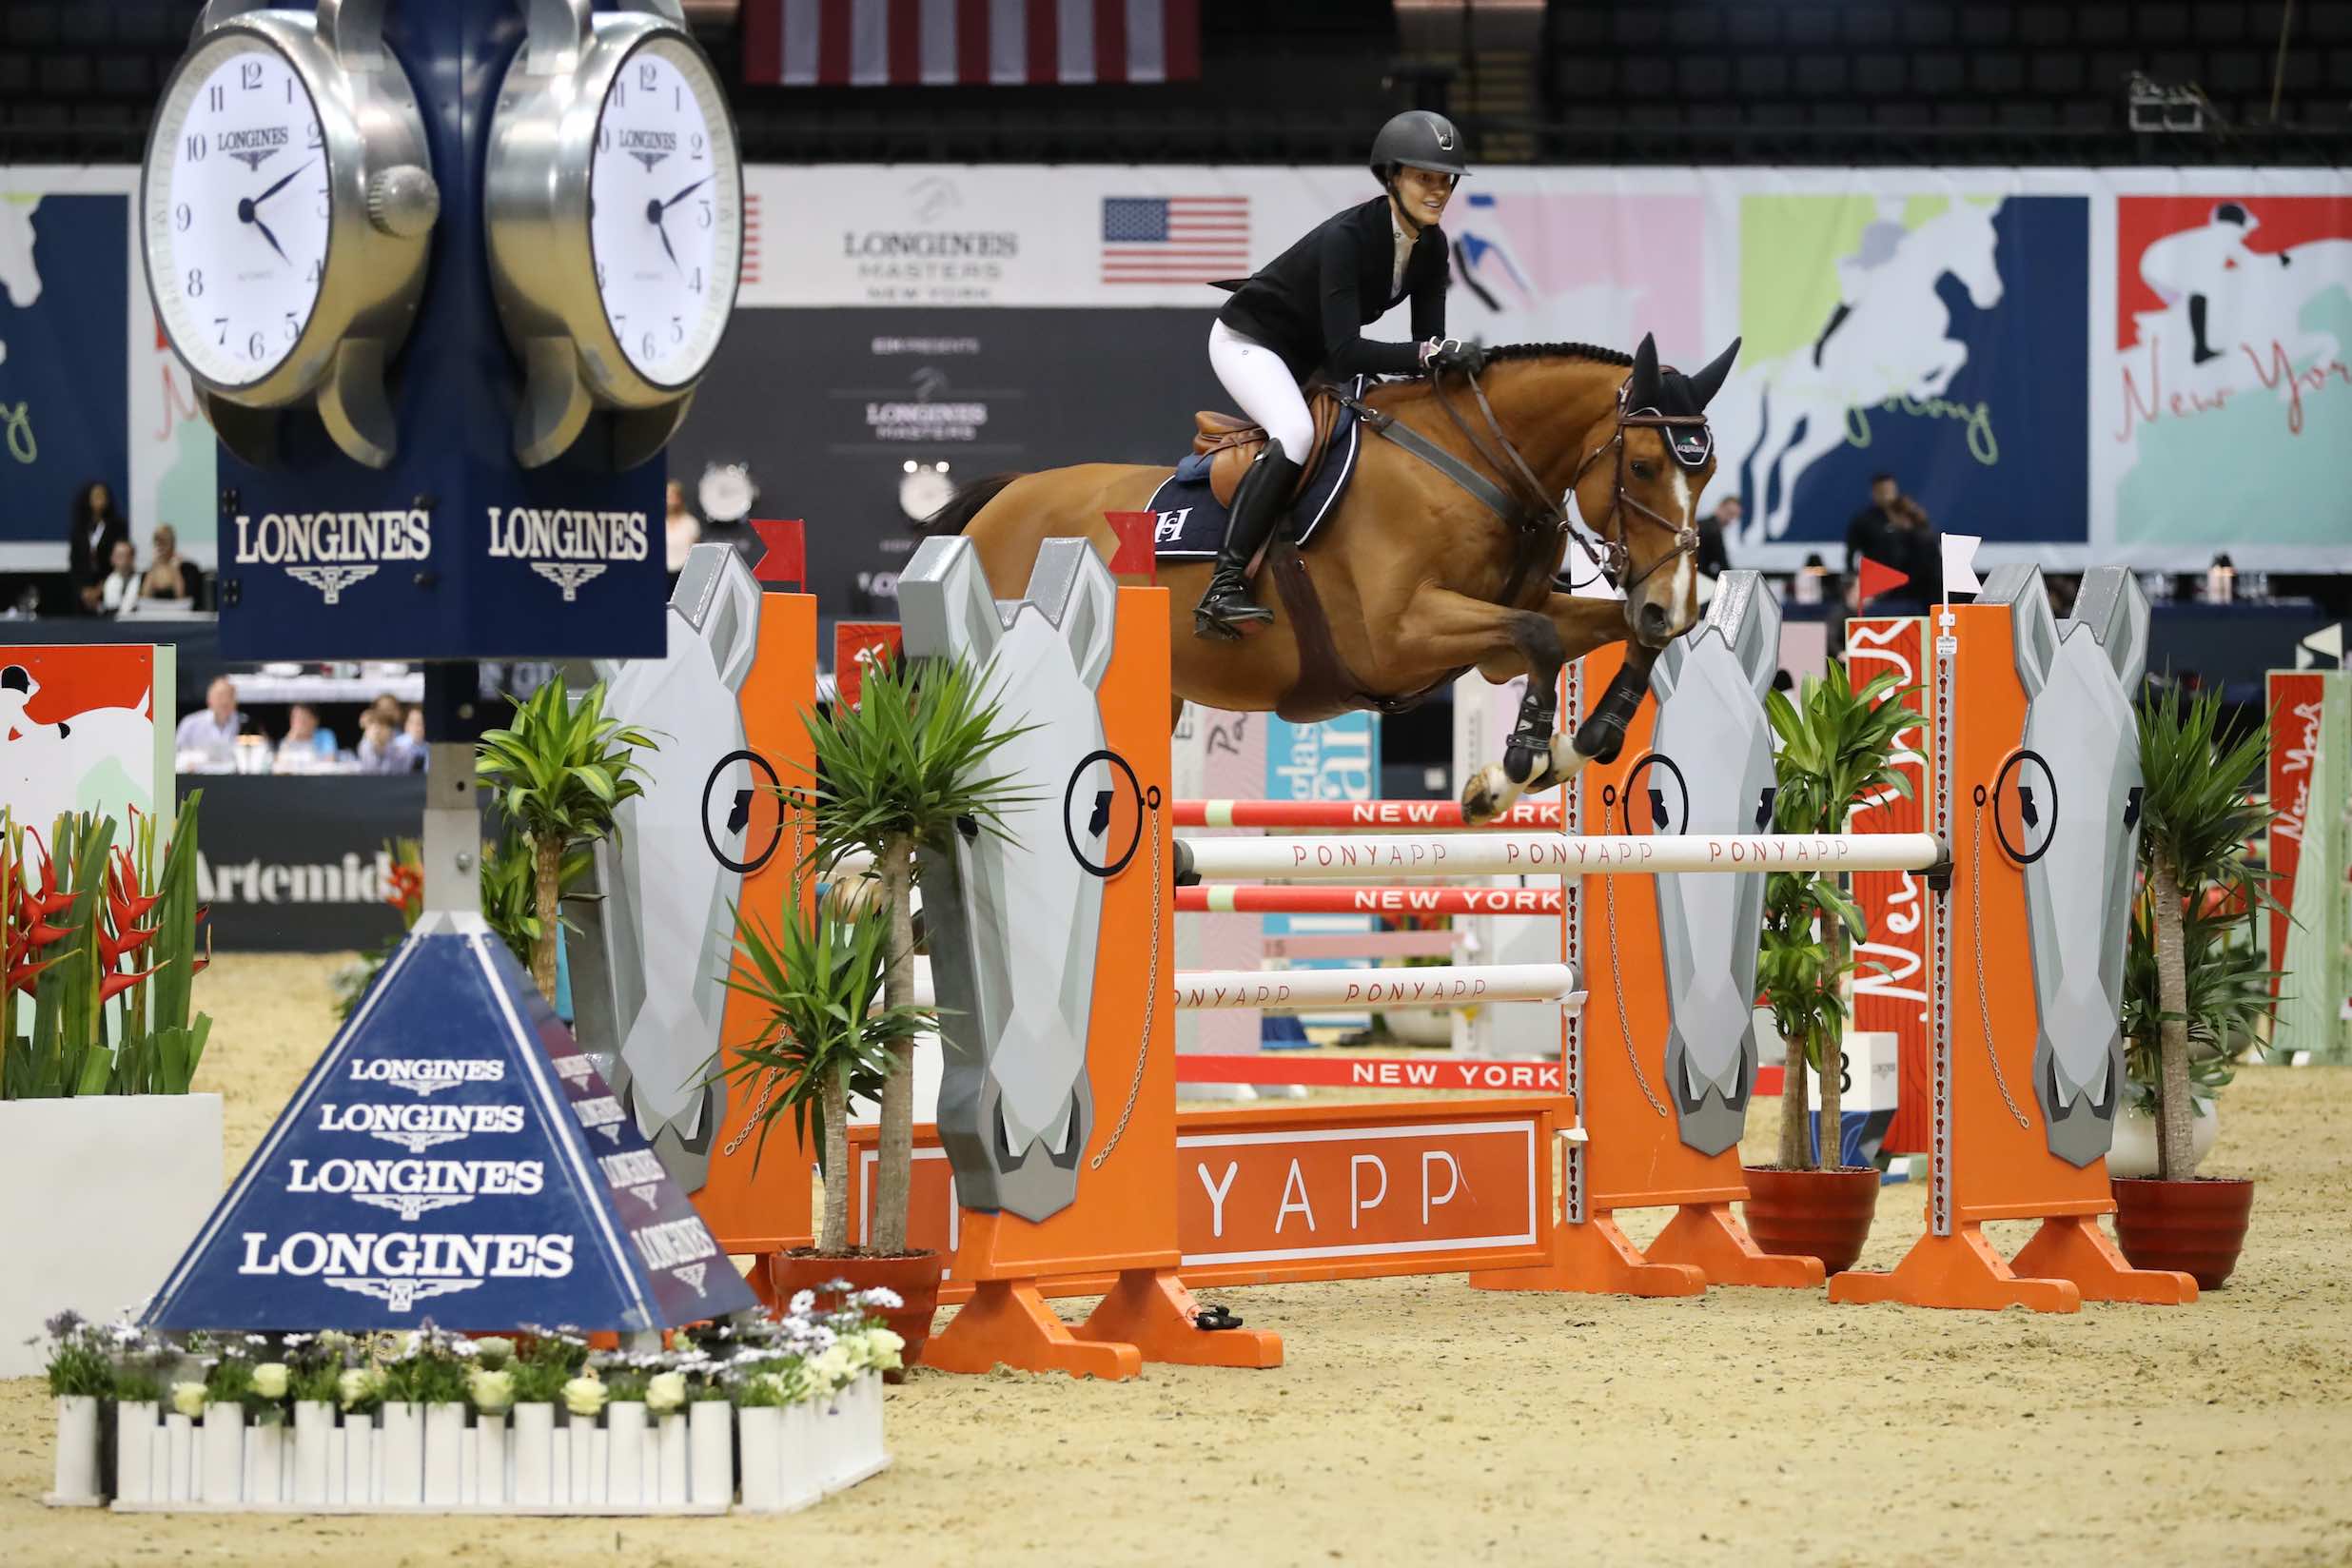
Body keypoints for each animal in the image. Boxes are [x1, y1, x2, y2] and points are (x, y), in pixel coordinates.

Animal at [926, 331, 1740, 822]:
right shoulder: (1398, 637)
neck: (1475, 464)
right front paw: (1514, 766)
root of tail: (998, 502)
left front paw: (1580, 743)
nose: (1669, 603)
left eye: (1708, 475)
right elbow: (1539, 635)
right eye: (1644, 467)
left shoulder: (1492, 646)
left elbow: (1603, 639)